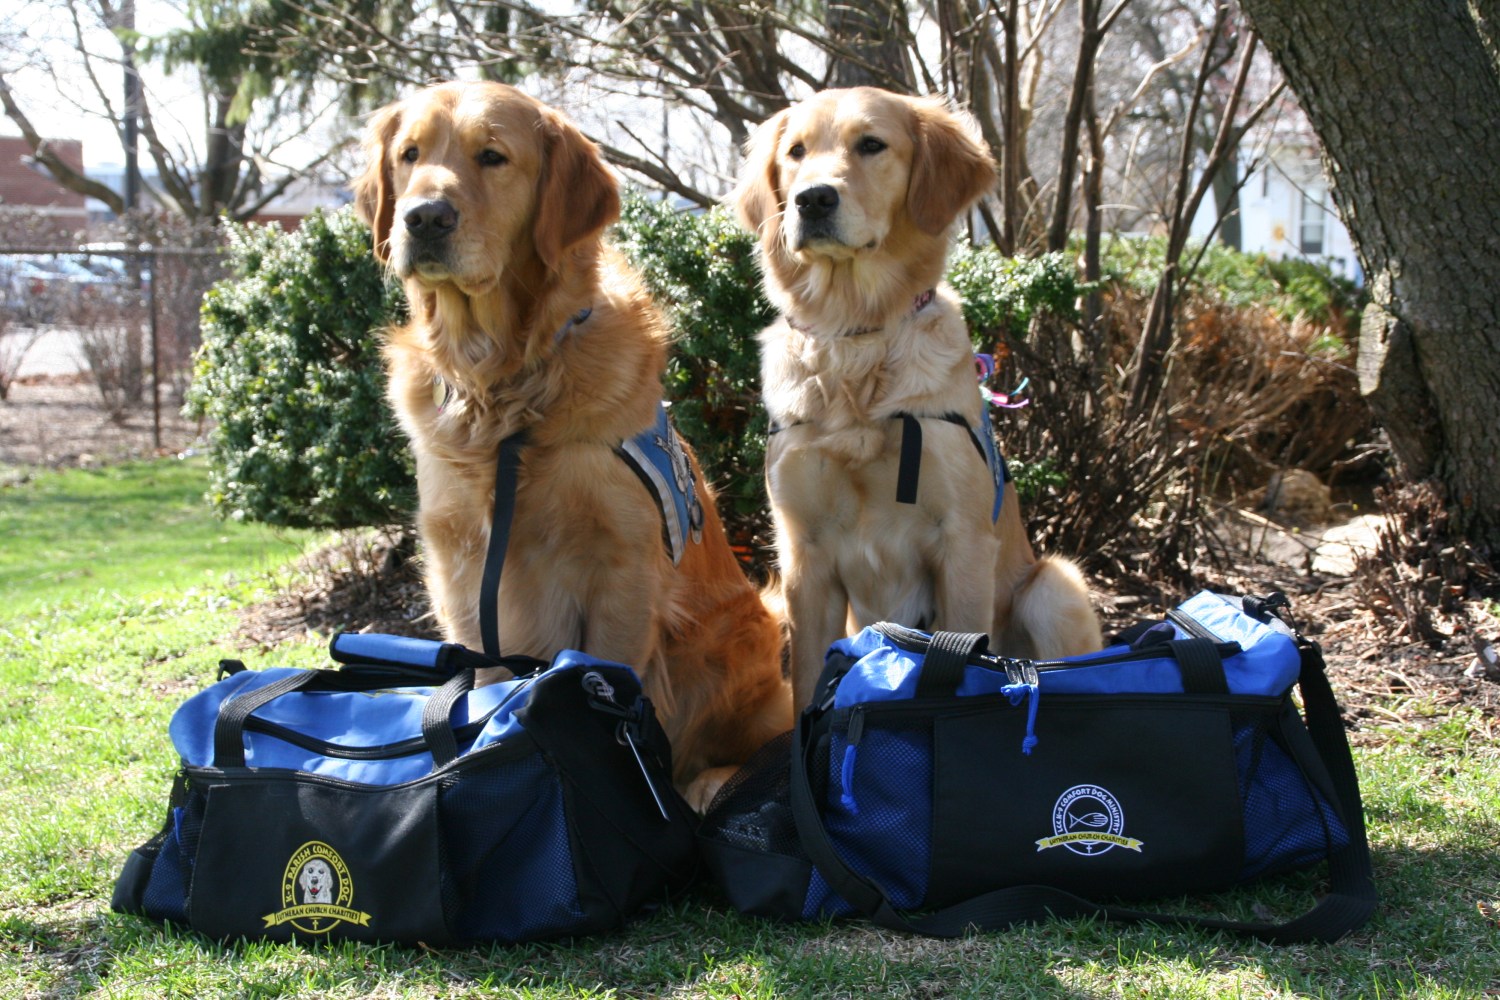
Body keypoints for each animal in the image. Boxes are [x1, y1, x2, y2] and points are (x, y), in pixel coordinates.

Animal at [357, 82, 792, 809]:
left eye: (493, 156)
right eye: (409, 154)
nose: (423, 218)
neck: (505, 384)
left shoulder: (621, 570)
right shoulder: (460, 572)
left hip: (736, 637)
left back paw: (707, 784)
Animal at [735, 88, 1104, 710]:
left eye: (871, 144)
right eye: (796, 152)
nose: (813, 199)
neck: (855, 339)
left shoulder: (963, 542)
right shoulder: (804, 556)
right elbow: (807, 681)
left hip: (1054, 584)